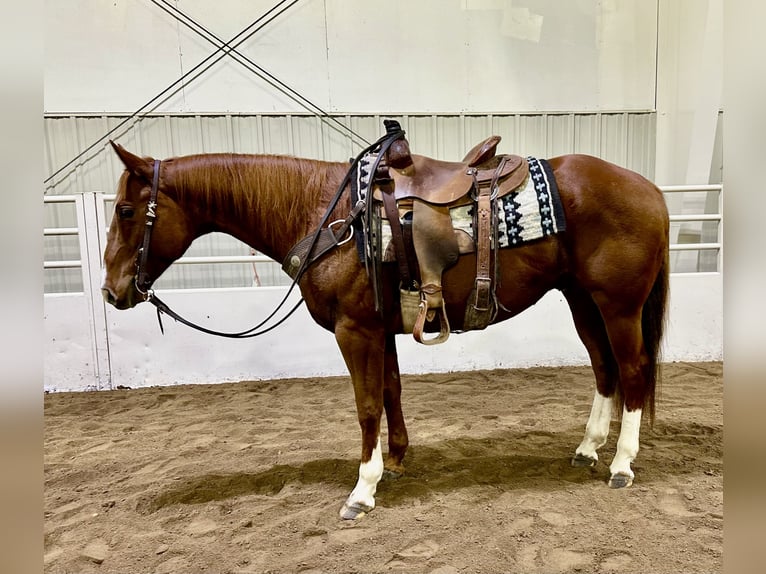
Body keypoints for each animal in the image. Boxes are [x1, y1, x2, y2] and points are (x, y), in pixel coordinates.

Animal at [103, 129, 672, 520]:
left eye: (127, 210)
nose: (112, 291)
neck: (325, 213)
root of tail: (651, 190)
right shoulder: (381, 328)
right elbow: (391, 391)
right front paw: (396, 462)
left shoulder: (355, 330)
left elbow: (366, 405)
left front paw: (363, 488)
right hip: (583, 301)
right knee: (605, 370)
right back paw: (587, 448)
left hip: (618, 306)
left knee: (633, 371)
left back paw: (622, 464)